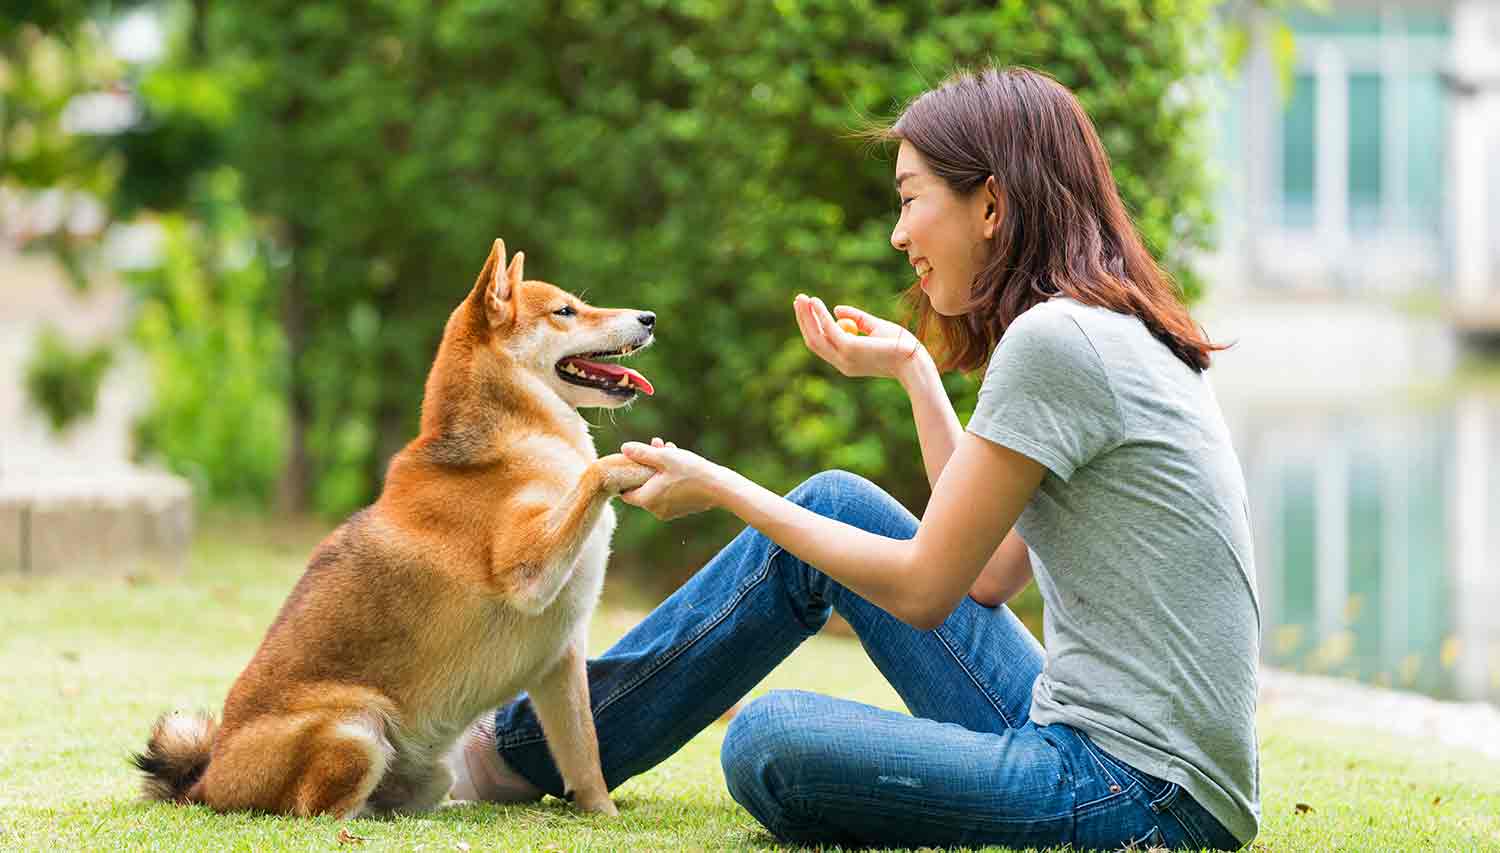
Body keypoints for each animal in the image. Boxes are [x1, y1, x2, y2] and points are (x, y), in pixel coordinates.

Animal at [133, 236, 657, 815]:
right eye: (566, 311)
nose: (649, 318)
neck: (511, 441)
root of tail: (207, 783)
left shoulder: (560, 663)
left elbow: (586, 758)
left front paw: (604, 816)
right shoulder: (526, 573)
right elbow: (595, 471)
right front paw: (632, 465)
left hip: (430, 771)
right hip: (358, 730)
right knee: (316, 813)